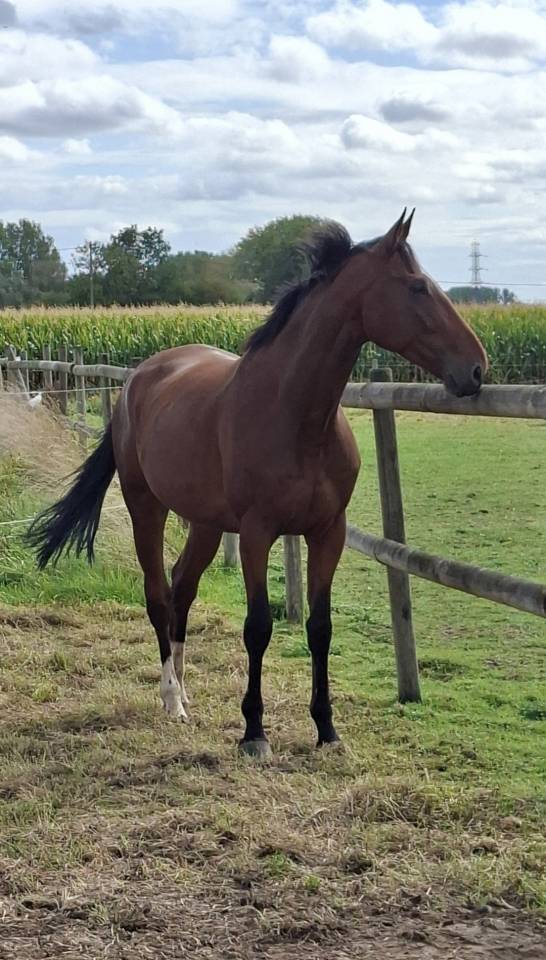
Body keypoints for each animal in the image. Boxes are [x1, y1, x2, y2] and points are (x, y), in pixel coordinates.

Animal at [27, 211, 487, 759]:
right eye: (418, 287)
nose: (476, 369)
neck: (296, 416)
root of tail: (139, 376)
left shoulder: (328, 532)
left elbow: (320, 628)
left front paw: (327, 729)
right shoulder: (256, 533)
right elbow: (258, 627)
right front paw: (254, 732)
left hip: (205, 524)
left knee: (182, 589)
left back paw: (186, 690)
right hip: (147, 508)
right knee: (159, 595)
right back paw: (172, 699)